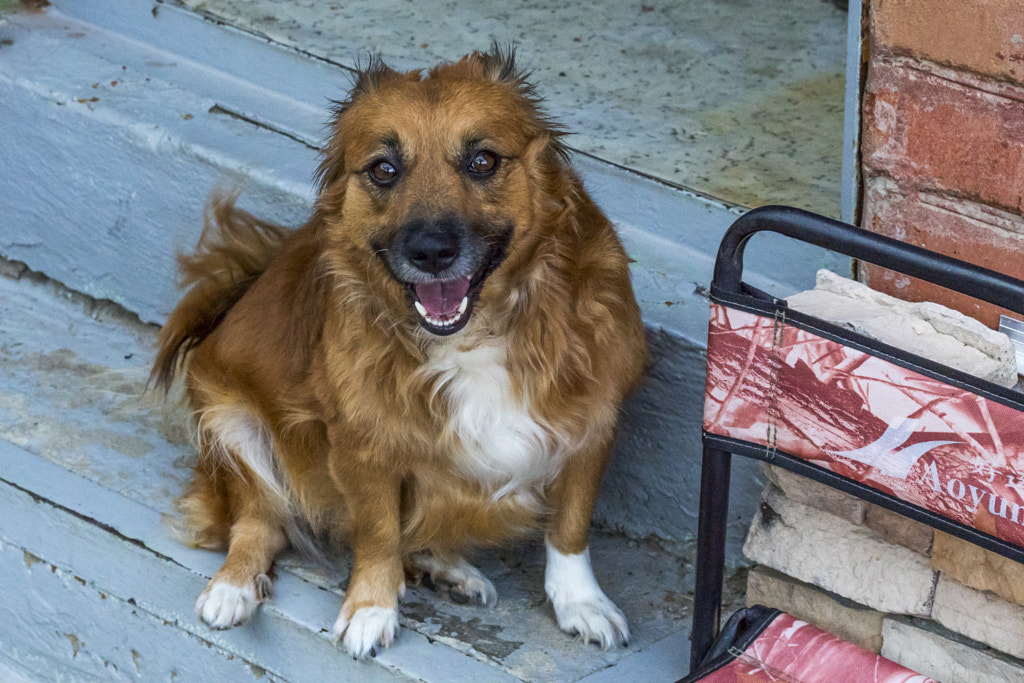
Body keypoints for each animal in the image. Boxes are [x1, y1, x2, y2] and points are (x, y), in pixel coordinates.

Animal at [152, 46, 643, 655]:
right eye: (383, 170)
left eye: (483, 160)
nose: (431, 251)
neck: (474, 336)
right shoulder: (361, 445)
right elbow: (379, 530)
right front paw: (370, 606)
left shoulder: (591, 422)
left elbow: (570, 527)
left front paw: (581, 601)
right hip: (231, 423)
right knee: (258, 523)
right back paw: (233, 587)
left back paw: (447, 568)